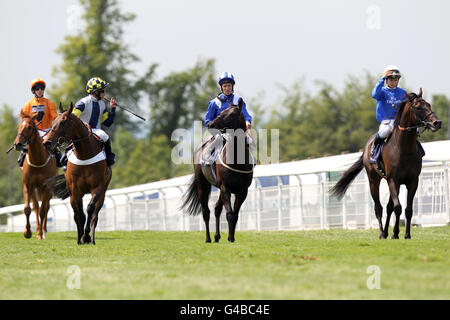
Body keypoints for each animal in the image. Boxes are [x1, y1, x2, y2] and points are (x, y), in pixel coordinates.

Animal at [13, 111, 57, 239]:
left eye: (29, 127)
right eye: (18, 126)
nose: (17, 144)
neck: (38, 160)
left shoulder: (46, 187)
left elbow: (43, 210)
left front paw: (41, 233)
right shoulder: (28, 185)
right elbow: (28, 209)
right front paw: (28, 232)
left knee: (46, 207)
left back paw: (44, 231)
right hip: (34, 189)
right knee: (36, 207)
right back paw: (38, 230)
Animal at [42, 102, 111, 245]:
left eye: (63, 122)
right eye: (53, 121)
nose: (47, 143)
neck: (85, 155)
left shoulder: (98, 187)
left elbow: (90, 209)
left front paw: (86, 236)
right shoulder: (75, 189)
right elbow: (79, 214)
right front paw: (80, 238)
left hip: (102, 193)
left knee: (95, 214)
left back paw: (92, 238)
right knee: (77, 213)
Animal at [180, 98, 255, 242]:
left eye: (232, 114)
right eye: (221, 111)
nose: (211, 124)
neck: (237, 161)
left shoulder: (242, 191)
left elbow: (235, 215)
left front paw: (231, 237)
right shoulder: (226, 187)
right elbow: (230, 214)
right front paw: (230, 238)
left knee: (216, 208)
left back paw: (216, 236)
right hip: (203, 184)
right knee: (206, 212)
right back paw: (208, 238)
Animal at [328, 89, 442, 239]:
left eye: (428, 104)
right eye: (418, 107)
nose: (437, 122)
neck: (404, 149)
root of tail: (366, 147)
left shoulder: (412, 181)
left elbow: (408, 209)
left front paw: (406, 234)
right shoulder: (393, 179)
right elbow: (397, 207)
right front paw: (395, 233)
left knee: (388, 207)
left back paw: (387, 231)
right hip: (373, 180)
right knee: (379, 208)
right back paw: (382, 232)